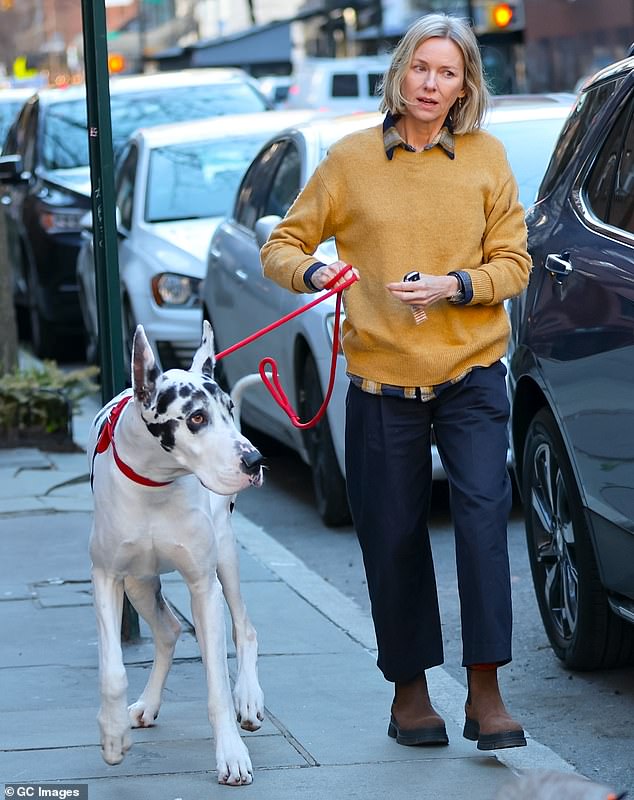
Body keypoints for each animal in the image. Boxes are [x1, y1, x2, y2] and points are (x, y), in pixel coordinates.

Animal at [88, 322, 262, 784]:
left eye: (228, 410)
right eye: (196, 418)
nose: (255, 460)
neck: (156, 483)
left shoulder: (203, 585)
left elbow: (217, 683)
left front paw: (231, 754)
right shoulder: (106, 577)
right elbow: (112, 670)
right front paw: (112, 736)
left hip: (225, 556)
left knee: (244, 627)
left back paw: (249, 698)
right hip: (139, 583)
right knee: (167, 630)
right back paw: (146, 705)